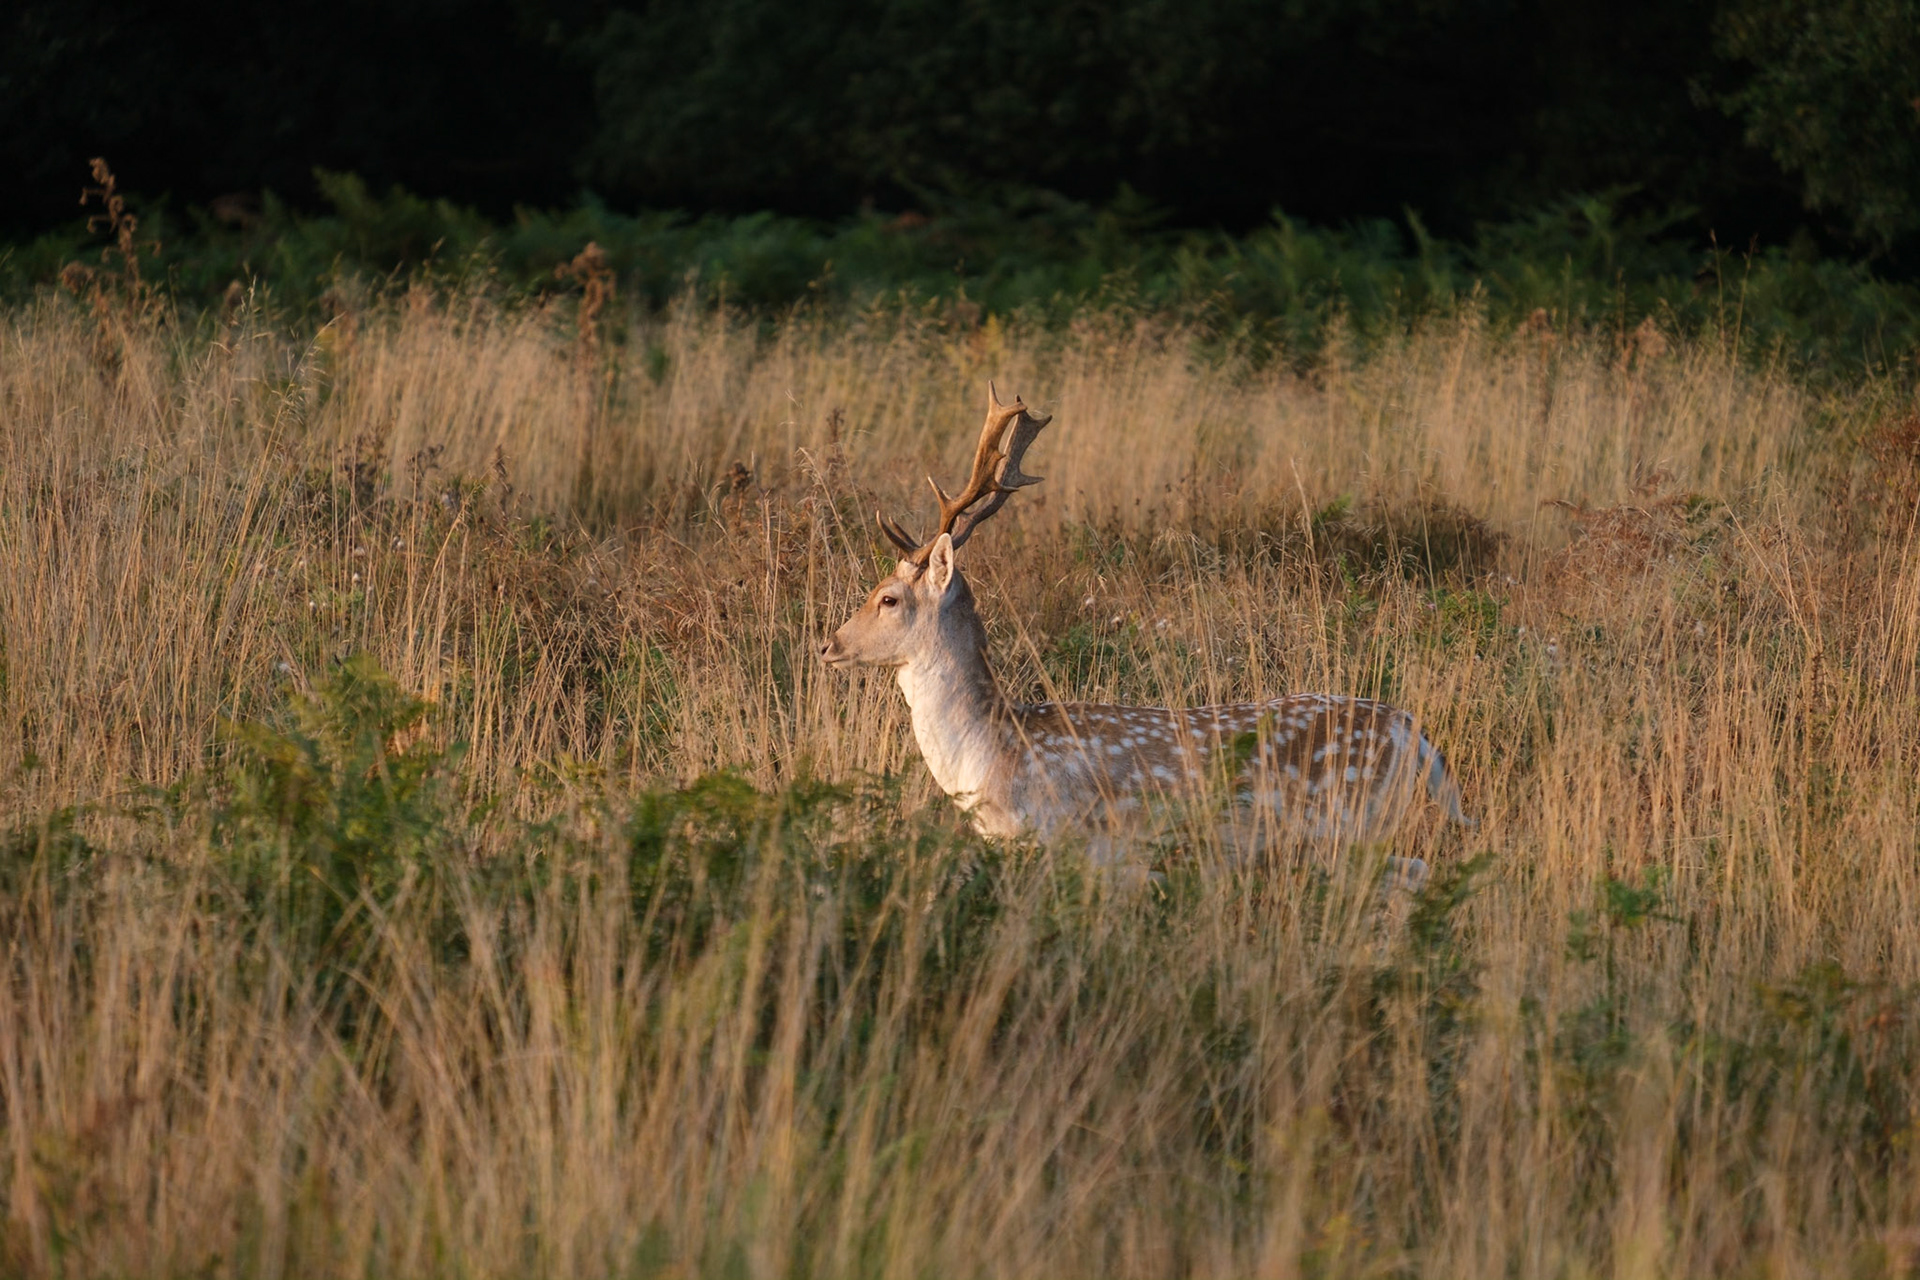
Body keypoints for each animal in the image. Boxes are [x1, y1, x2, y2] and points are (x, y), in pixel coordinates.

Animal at [820, 382, 1473, 886]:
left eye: (888, 597)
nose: (828, 645)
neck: (993, 756)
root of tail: (1417, 736)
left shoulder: (1083, 847)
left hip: (1350, 824)